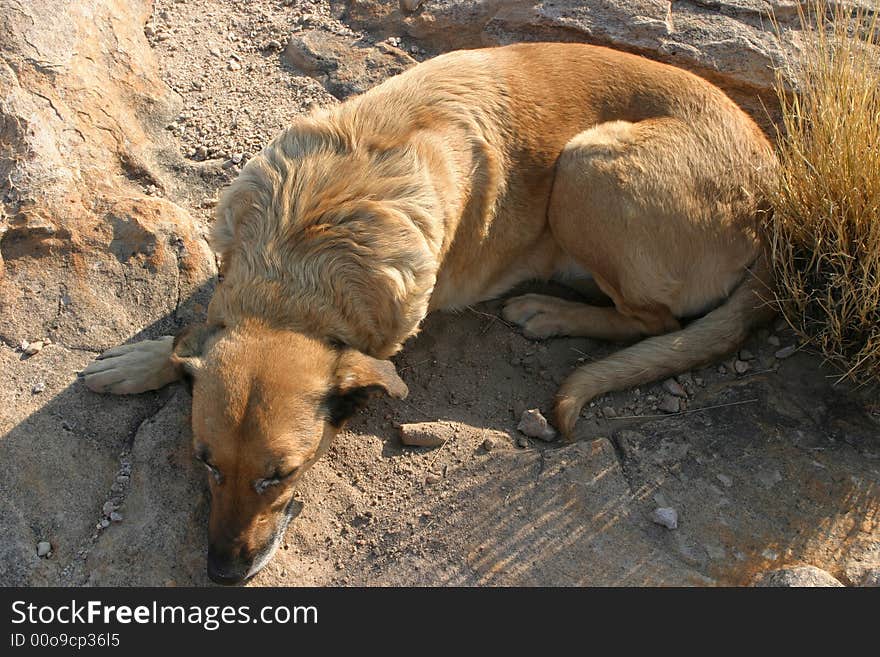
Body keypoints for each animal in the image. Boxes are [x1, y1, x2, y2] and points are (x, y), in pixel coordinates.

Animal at [81, 42, 768, 584]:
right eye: (204, 461)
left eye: (283, 474)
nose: (222, 574)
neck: (308, 246)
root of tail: (776, 198)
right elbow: (191, 329)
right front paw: (144, 359)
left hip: (588, 165)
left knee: (658, 323)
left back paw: (550, 310)